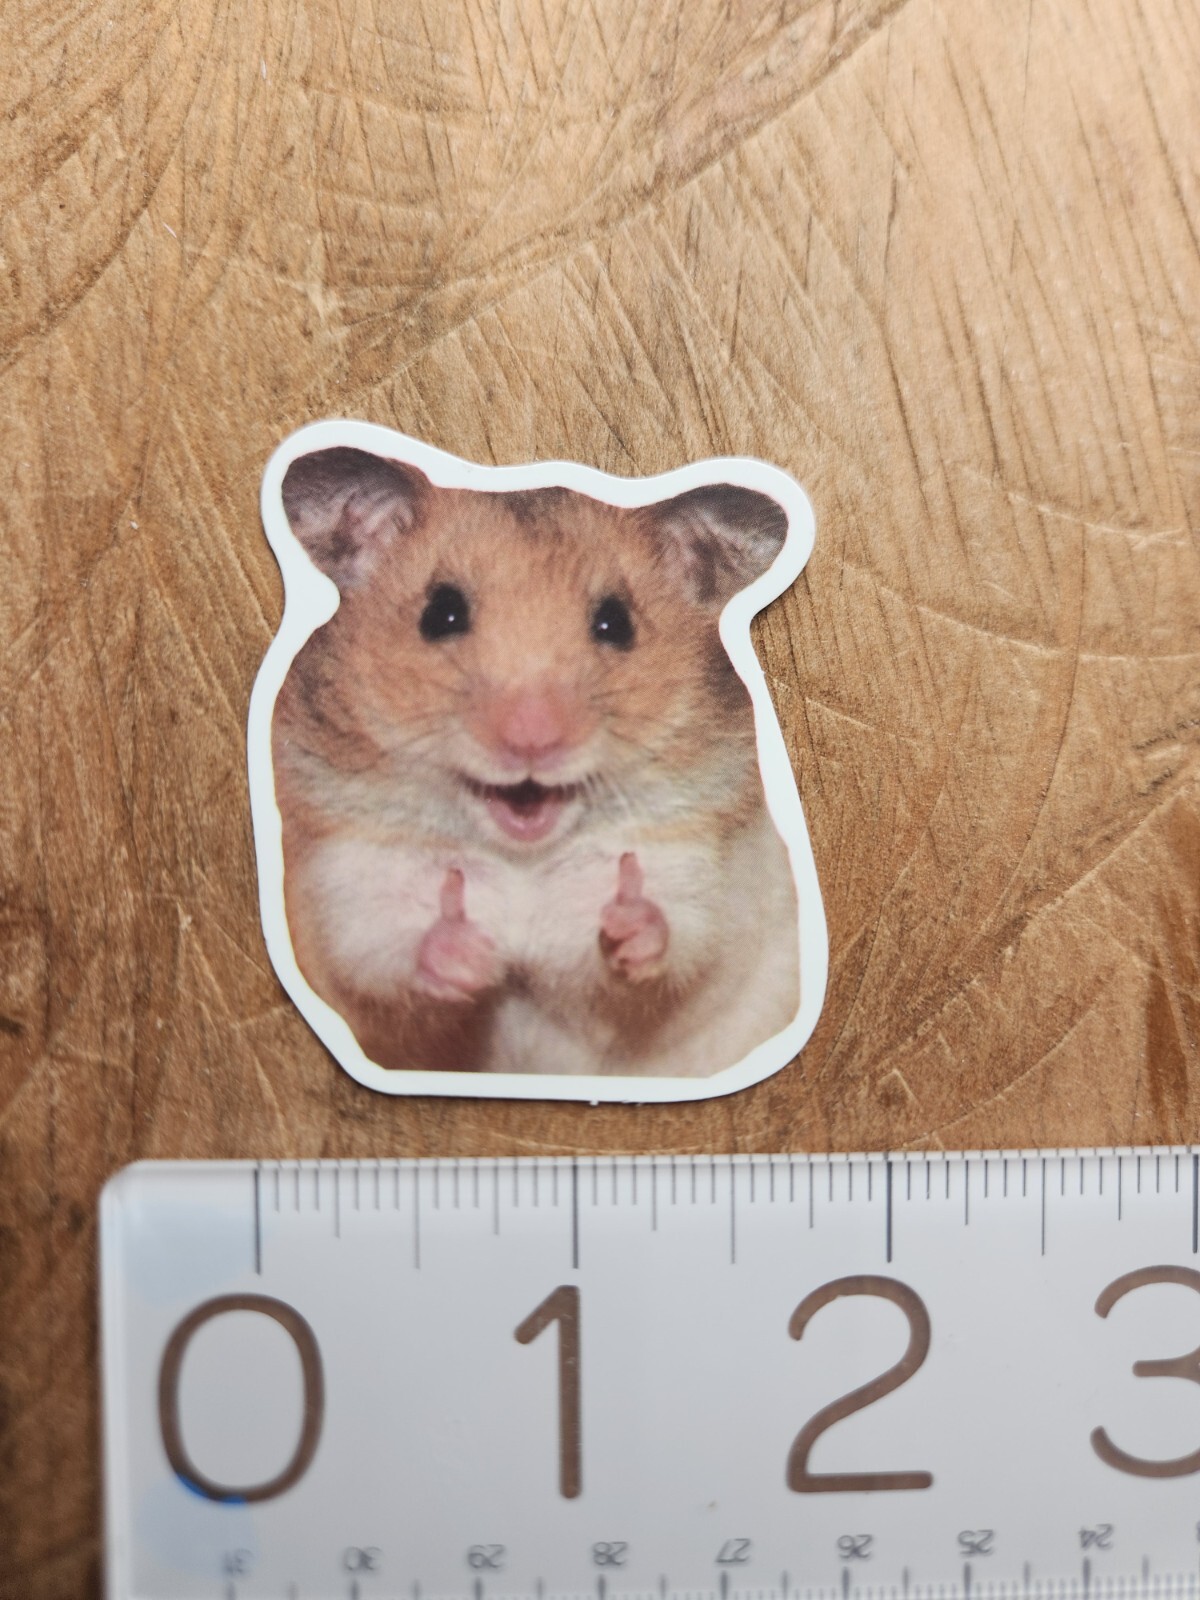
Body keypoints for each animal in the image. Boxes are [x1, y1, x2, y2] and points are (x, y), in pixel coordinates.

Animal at [270, 445, 801, 1077]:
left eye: (616, 622)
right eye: (440, 614)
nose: (532, 740)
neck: (520, 858)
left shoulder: (696, 875)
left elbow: (667, 951)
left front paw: (626, 920)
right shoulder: (351, 883)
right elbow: (388, 961)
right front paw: (468, 952)